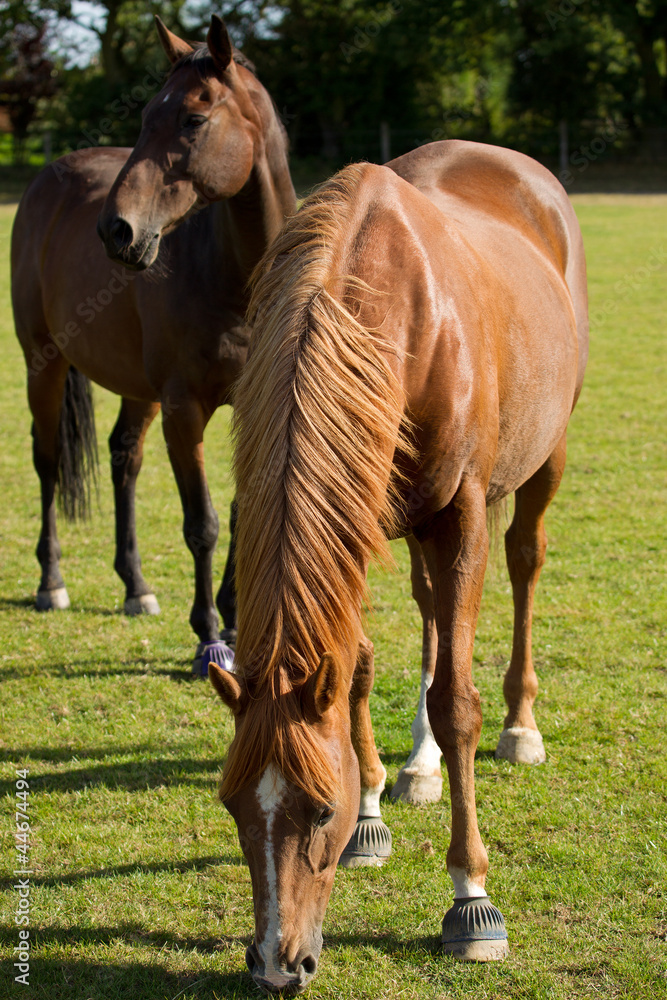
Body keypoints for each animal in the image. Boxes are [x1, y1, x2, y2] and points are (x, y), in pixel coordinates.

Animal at [11, 15, 296, 669]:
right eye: (144, 116)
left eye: (193, 118)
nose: (115, 230)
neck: (235, 280)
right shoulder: (183, 409)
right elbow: (203, 523)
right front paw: (210, 637)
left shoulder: (254, 403)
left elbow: (242, 511)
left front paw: (237, 624)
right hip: (43, 365)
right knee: (47, 461)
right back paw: (50, 582)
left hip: (137, 390)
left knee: (124, 458)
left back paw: (135, 586)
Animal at [207, 139, 588, 993]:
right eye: (232, 807)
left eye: (318, 809)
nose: (277, 967)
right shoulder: (361, 511)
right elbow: (356, 667)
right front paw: (375, 808)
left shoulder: (462, 514)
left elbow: (455, 700)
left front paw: (471, 897)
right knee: (427, 608)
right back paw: (417, 767)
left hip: (541, 459)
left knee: (523, 564)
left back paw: (520, 726)